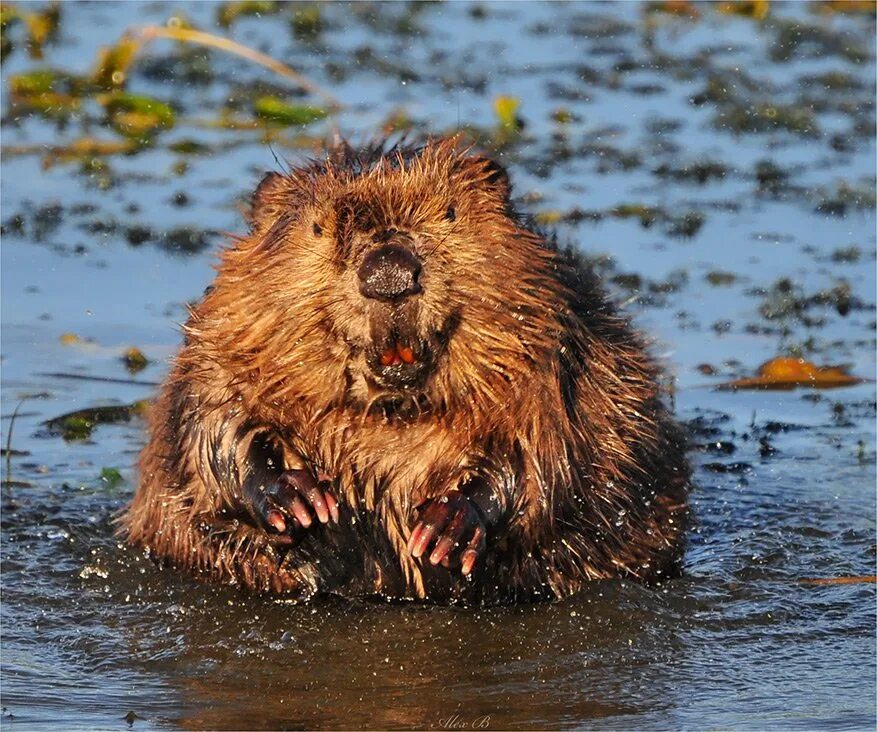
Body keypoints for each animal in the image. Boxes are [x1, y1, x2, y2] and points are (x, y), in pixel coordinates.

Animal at [120, 136, 688, 600]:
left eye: (451, 212)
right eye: (317, 227)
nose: (389, 272)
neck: (391, 414)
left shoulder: (552, 354)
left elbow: (544, 453)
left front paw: (446, 525)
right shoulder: (225, 339)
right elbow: (213, 425)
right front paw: (299, 499)